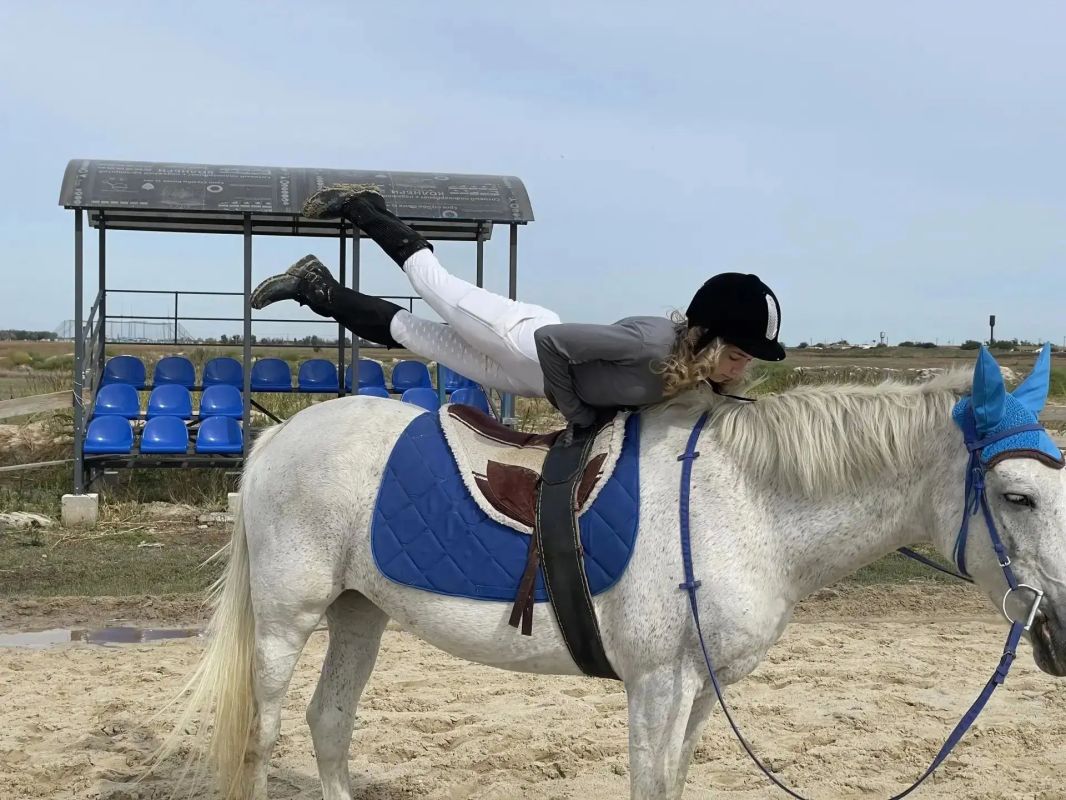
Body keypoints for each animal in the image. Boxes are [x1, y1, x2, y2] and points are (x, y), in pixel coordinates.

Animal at [162, 346, 1066, 799]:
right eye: (1017, 496)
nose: (1059, 629)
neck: (743, 502)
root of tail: (281, 435)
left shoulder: (701, 688)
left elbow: (673, 782)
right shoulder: (658, 683)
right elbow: (647, 780)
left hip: (360, 611)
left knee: (329, 725)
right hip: (288, 620)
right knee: (266, 733)